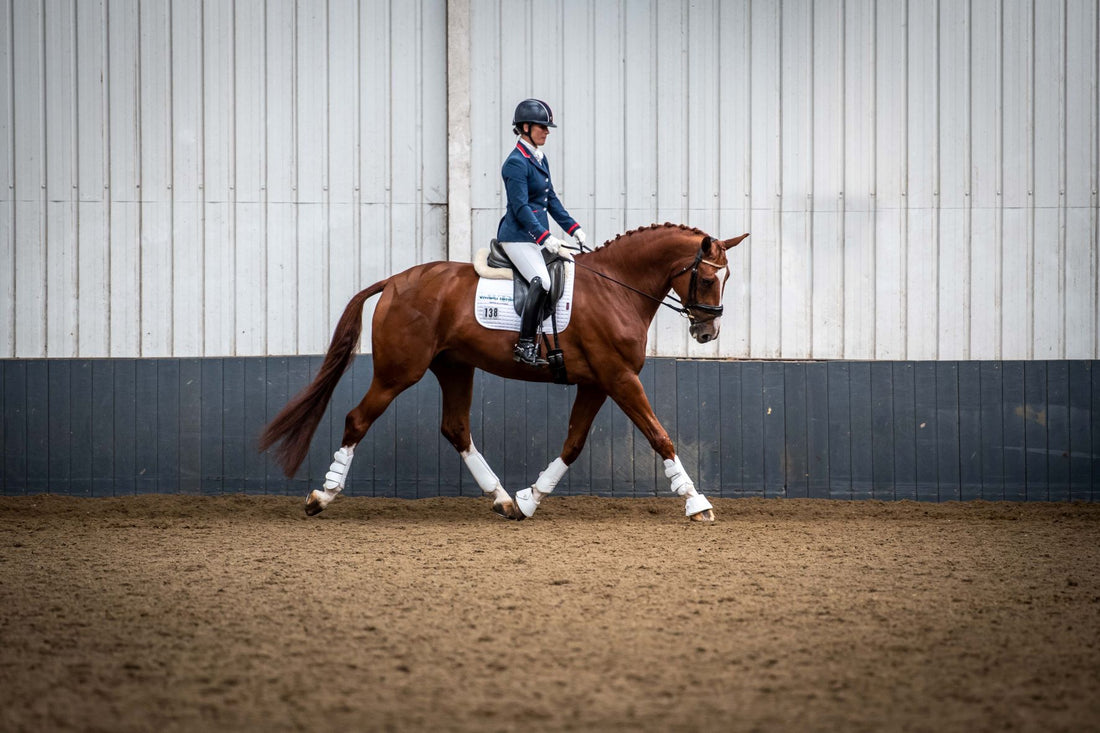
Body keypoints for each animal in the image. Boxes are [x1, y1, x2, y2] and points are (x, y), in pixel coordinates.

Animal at [259, 222, 748, 519]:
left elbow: (573, 444)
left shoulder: (597, 383)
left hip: (455, 367)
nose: (708, 331)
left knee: (455, 428)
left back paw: (503, 499)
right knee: (357, 419)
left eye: (726, 280)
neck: (617, 289)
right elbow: (659, 435)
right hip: (399, 372)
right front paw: (697, 502)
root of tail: (394, 282)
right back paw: (322, 496)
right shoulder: (619, 378)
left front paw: (530, 499)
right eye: (708, 279)